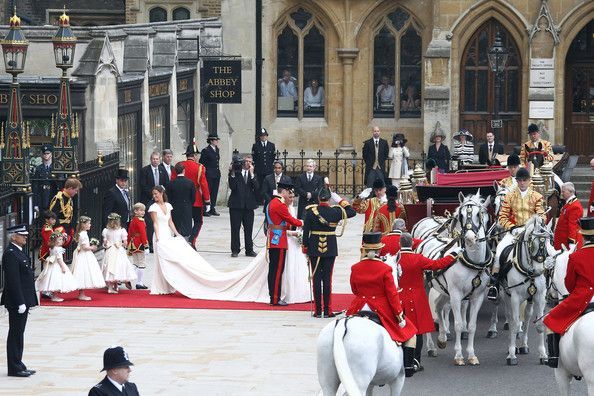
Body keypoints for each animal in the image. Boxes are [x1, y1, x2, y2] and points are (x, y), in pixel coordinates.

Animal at [418, 191, 488, 366]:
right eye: (461, 215)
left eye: (479, 214)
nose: (470, 237)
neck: (471, 262)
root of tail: (432, 236)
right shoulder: (456, 295)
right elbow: (457, 324)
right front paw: (458, 356)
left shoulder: (477, 296)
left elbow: (472, 326)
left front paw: (471, 355)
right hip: (426, 287)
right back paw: (431, 347)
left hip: (444, 290)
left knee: (438, 306)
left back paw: (442, 338)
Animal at [494, 217, 556, 366]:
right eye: (533, 242)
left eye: (549, 241)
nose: (542, 269)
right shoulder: (515, 298)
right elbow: (515, 324)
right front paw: (511, 354)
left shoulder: (539, 297)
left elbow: (539, 325)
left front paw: (543, 354)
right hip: (506, 297)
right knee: (511, 319)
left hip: (529, 299)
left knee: (527, 317)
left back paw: (523, 345)